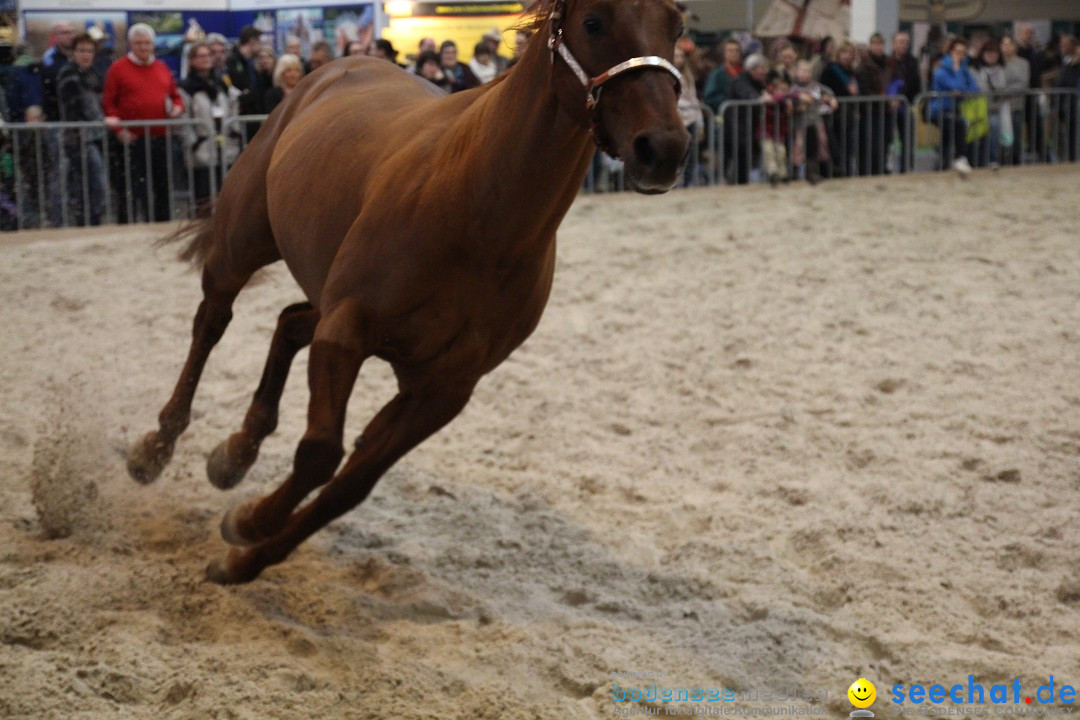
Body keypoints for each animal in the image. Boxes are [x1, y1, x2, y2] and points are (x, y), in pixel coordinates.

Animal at [126, 0, 682, 587]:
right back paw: (154, 450)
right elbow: (320, 453)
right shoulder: (346, 335)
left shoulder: (442, 390)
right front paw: (249, 521)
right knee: (211, 323)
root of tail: (330, 70)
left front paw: (241, 559)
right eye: (594, 22)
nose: (664, 149)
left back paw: (234, 455)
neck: (477, 209)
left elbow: (349, 486)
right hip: (243, 242)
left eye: (677, 25)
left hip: (321, 292)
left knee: (289, 324)